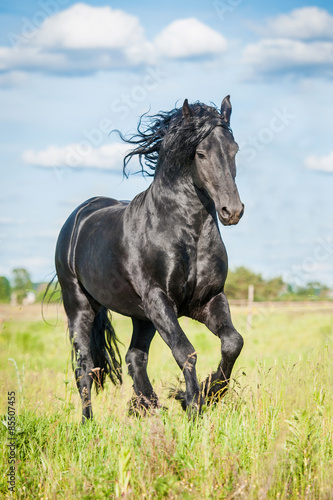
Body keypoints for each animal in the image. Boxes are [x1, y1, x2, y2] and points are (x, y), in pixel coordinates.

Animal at [55, 95, 244, 420]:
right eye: (201, 154)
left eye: (234, 150)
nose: (232, 211)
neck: (185, 233)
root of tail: (80, 214)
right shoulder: (159, 300)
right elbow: (185, 351)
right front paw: (193, 406)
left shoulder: (208, 299)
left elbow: (233, 342)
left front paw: (210, 393)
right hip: (79, 305)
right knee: (85, 366)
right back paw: (88, 421)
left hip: (141, 316)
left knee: (134, 357)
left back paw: (148, 406)